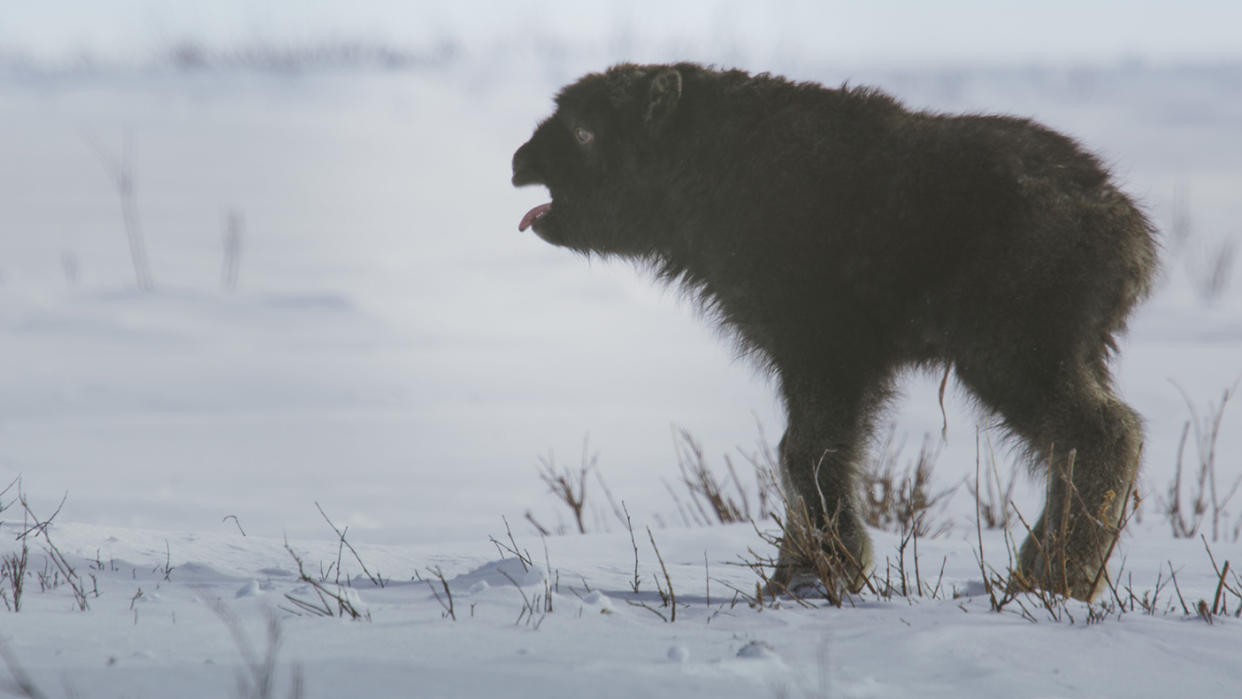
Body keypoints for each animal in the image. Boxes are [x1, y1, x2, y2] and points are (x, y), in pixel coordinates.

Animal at [509, 61, 1147, 600]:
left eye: (585, 131)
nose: (519, 161)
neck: (713, 160)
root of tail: (1123, 219)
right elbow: (800, 455)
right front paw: (793, 574)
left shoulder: (824, 355)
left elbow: (807, 454)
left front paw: (822, 570)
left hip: (1011, 355)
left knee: (1102, 434)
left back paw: (1053, 576)